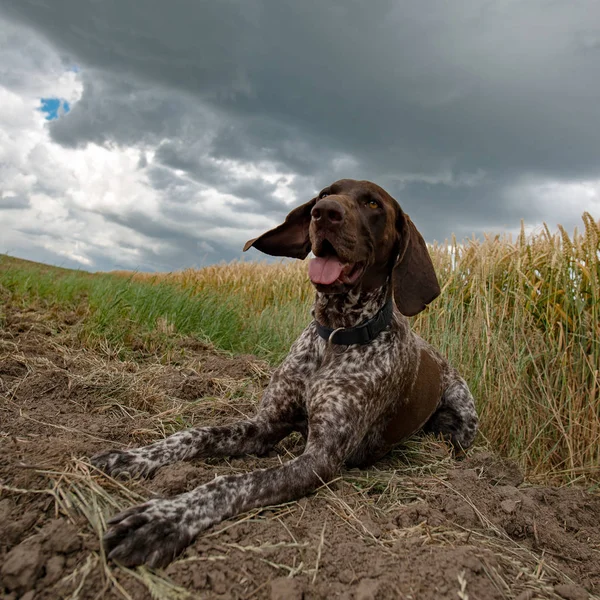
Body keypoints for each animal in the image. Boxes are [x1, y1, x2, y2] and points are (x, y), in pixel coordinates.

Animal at [91, 178, 478, 568]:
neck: (335, 334)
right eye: (325, 194)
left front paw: (164, 519)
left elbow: (231, 482)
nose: (324, 213)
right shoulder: (266, 425)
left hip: (460, 422)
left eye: (373, 204)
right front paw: (133, 457)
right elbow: (194, 434)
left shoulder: (319, 459)